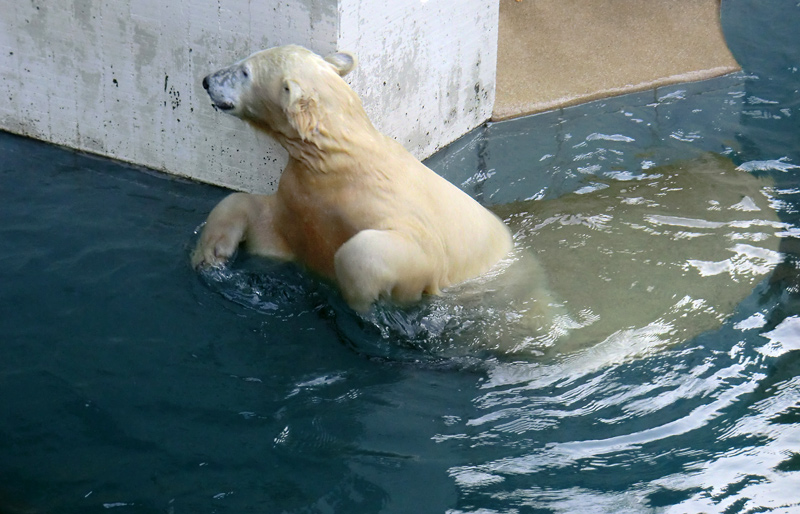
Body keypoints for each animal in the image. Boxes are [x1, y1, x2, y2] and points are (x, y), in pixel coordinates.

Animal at [191, 45, 510, 308]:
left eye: (245, 72)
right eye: (245, 60)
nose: (207, 80)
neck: (337, 162)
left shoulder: (398, 213)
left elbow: (393, 250)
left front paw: (365, 302)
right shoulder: (299, 205)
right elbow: (251, 211)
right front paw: (210, 255)